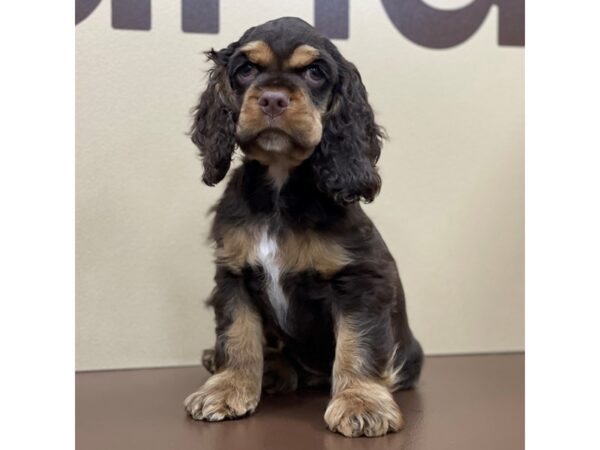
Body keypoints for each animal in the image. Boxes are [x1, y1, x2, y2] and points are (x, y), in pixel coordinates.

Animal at [183, 16, 422, 436]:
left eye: (314, 72)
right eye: (246, 69)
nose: (273, 100)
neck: (280, 186)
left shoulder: (359, 280)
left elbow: (357, 343)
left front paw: (361, 402)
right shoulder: (233, 274)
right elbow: (238, 335)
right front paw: (227, 389)